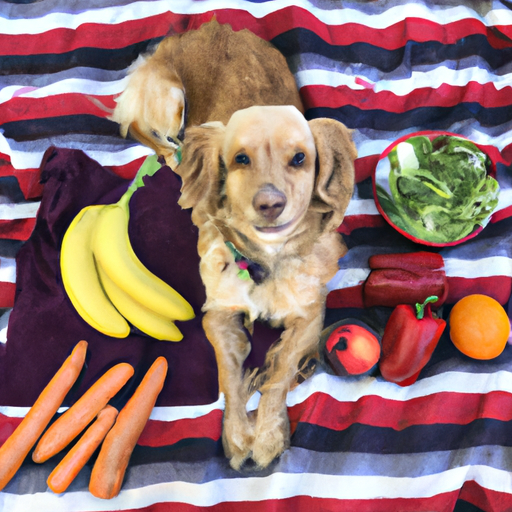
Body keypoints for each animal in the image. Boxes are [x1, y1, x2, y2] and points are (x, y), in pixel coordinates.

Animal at [176, 106, 356, 470]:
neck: (267, 263)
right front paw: (237, 435)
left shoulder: (310, 315)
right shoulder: (218, 316)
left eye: (300, 158)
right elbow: (229, 378)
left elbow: (280, 370)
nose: (270, 204)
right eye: (241, 158)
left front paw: (268, 434)